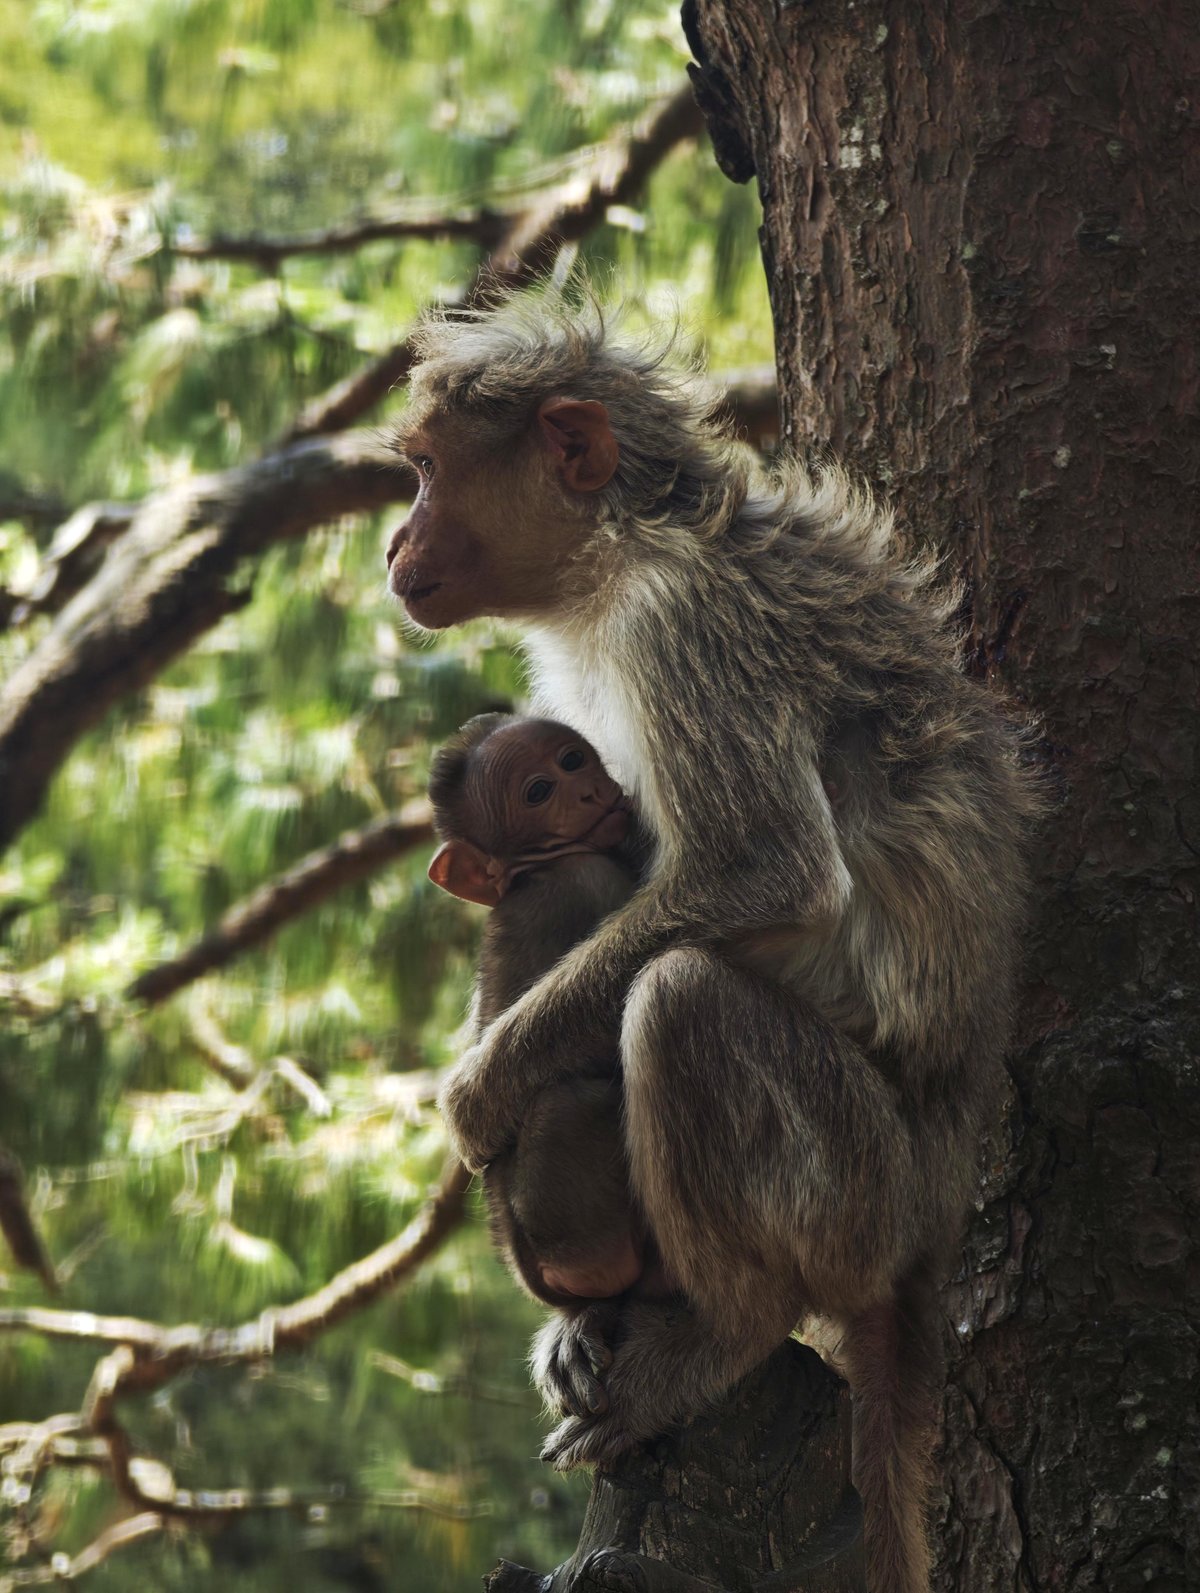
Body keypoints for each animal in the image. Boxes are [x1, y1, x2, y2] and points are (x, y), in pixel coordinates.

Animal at [427, 712, 670, 1309]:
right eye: (538, 793)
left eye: (571, 760)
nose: (588, 791)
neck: (534, 869)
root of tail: (540, 1279)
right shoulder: (586, 879)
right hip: (571, 1228)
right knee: (571, 1101)